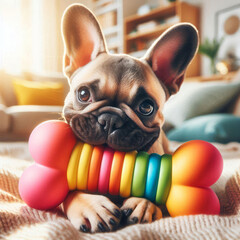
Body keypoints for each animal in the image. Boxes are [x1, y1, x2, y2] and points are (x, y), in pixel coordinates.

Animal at [60, 3, 199, 232]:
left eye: (146, 107)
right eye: (83, 94)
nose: (110, 119)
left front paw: (144, 203)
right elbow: (68, 190)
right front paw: (91, 204)